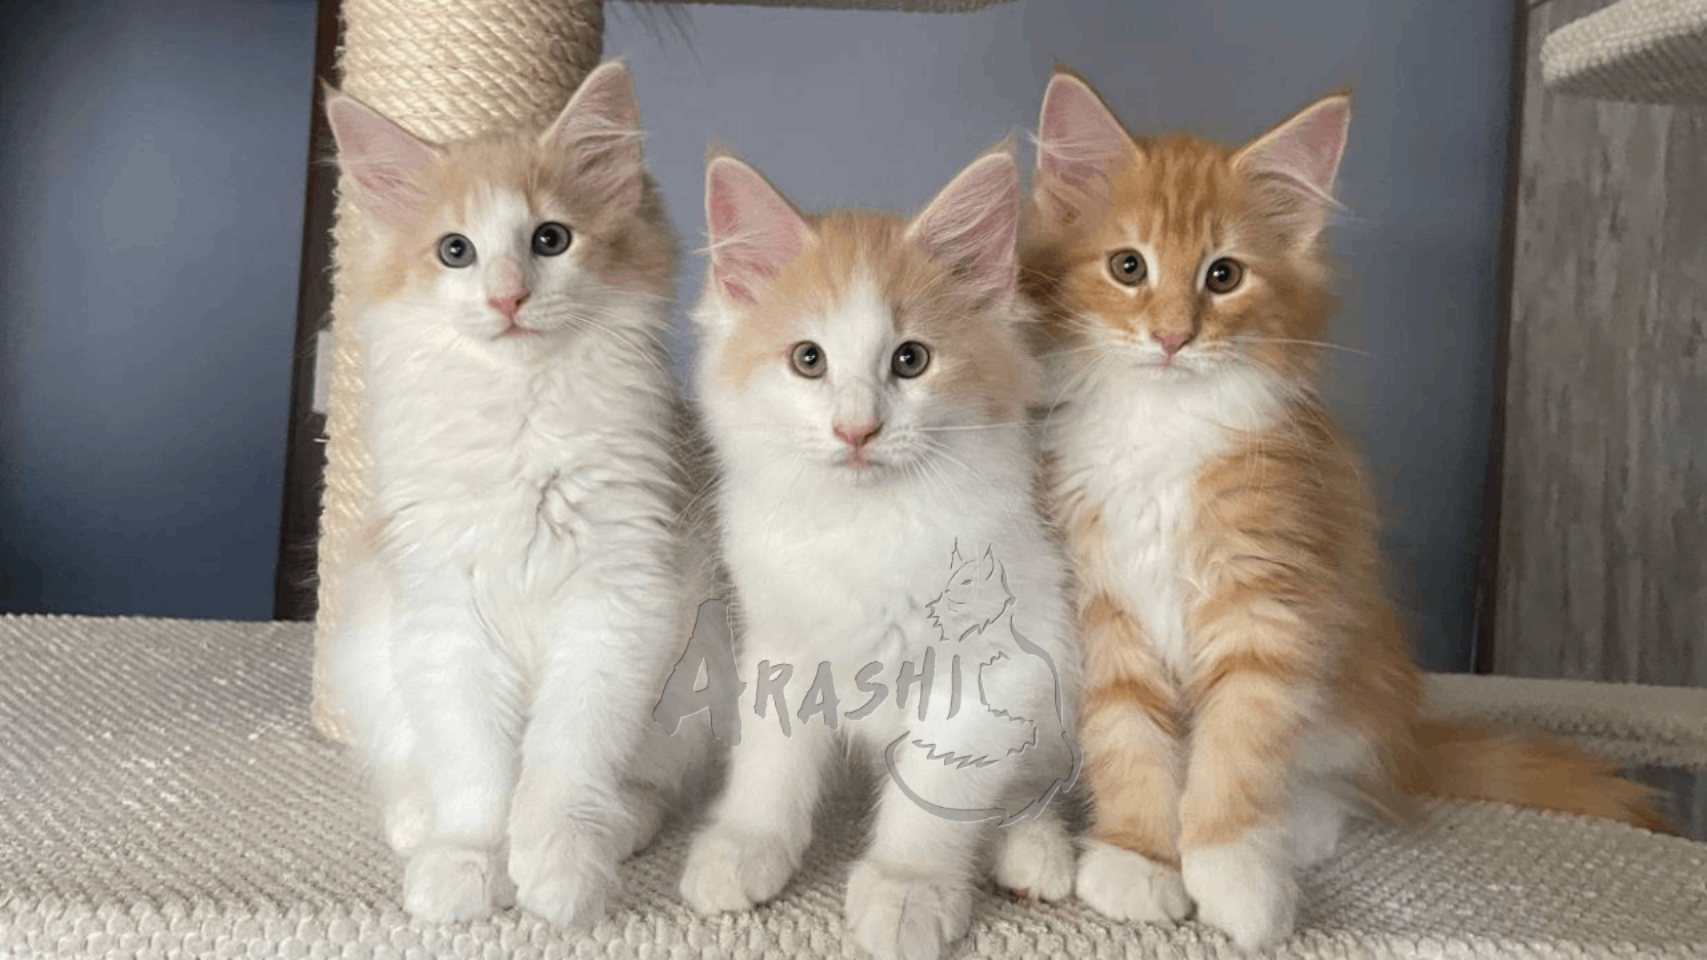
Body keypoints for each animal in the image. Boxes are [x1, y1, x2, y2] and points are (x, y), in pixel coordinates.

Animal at [319, 61, 706, 929]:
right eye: (454, 251)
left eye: (549, 239)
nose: (506, 298)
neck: (522, 421)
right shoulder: (446, 620)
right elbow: (475, 772)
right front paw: (465, 862)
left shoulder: (617, 607)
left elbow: (563, 762)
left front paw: (558, 867)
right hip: (368, 640)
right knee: (406, 764)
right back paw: (415, 824)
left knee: (651, 783)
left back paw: (618, 828)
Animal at [679, 143, 1078, 956]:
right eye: (808, 360)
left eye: (911, 360)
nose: (856, 430)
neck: (863, 527)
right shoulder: (782, 641)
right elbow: (769, 760)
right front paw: (747, 843)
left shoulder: (994, 668)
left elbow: (935, 790)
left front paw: (907, 886)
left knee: (1025, 784)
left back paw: (1032, 849)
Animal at [1017, 69, 1659, 949]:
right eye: (1126, 266)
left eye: (1223, 276)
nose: (1173, 338)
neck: (1160, 427)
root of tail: (1410, 734)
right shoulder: (1103, 605)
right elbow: (1127, 741)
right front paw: (1139, 860)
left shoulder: (1269, 599)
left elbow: (1238, 745)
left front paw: (1232, 875)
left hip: (1356, 681)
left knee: (1344, 783)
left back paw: (1295, 829)